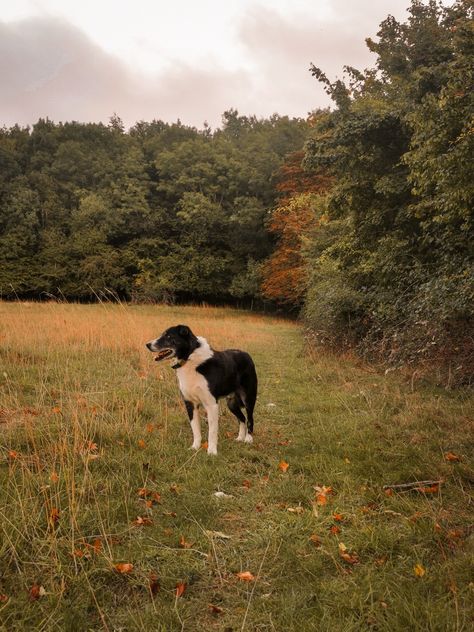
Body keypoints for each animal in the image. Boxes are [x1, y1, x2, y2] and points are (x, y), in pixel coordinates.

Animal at [145, 326, 258, 454]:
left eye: (169, 336)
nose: (147, 344)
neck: (190, 357)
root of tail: (246, 354)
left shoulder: (211, 405)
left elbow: (212, 431)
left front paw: (212, 452)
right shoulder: (190, 404)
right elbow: (195, 429)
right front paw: (195, 447)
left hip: (248, 398)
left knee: (250, 418)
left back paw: (248, 439)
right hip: (232, 404)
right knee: (242, 419)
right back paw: (240, 438)